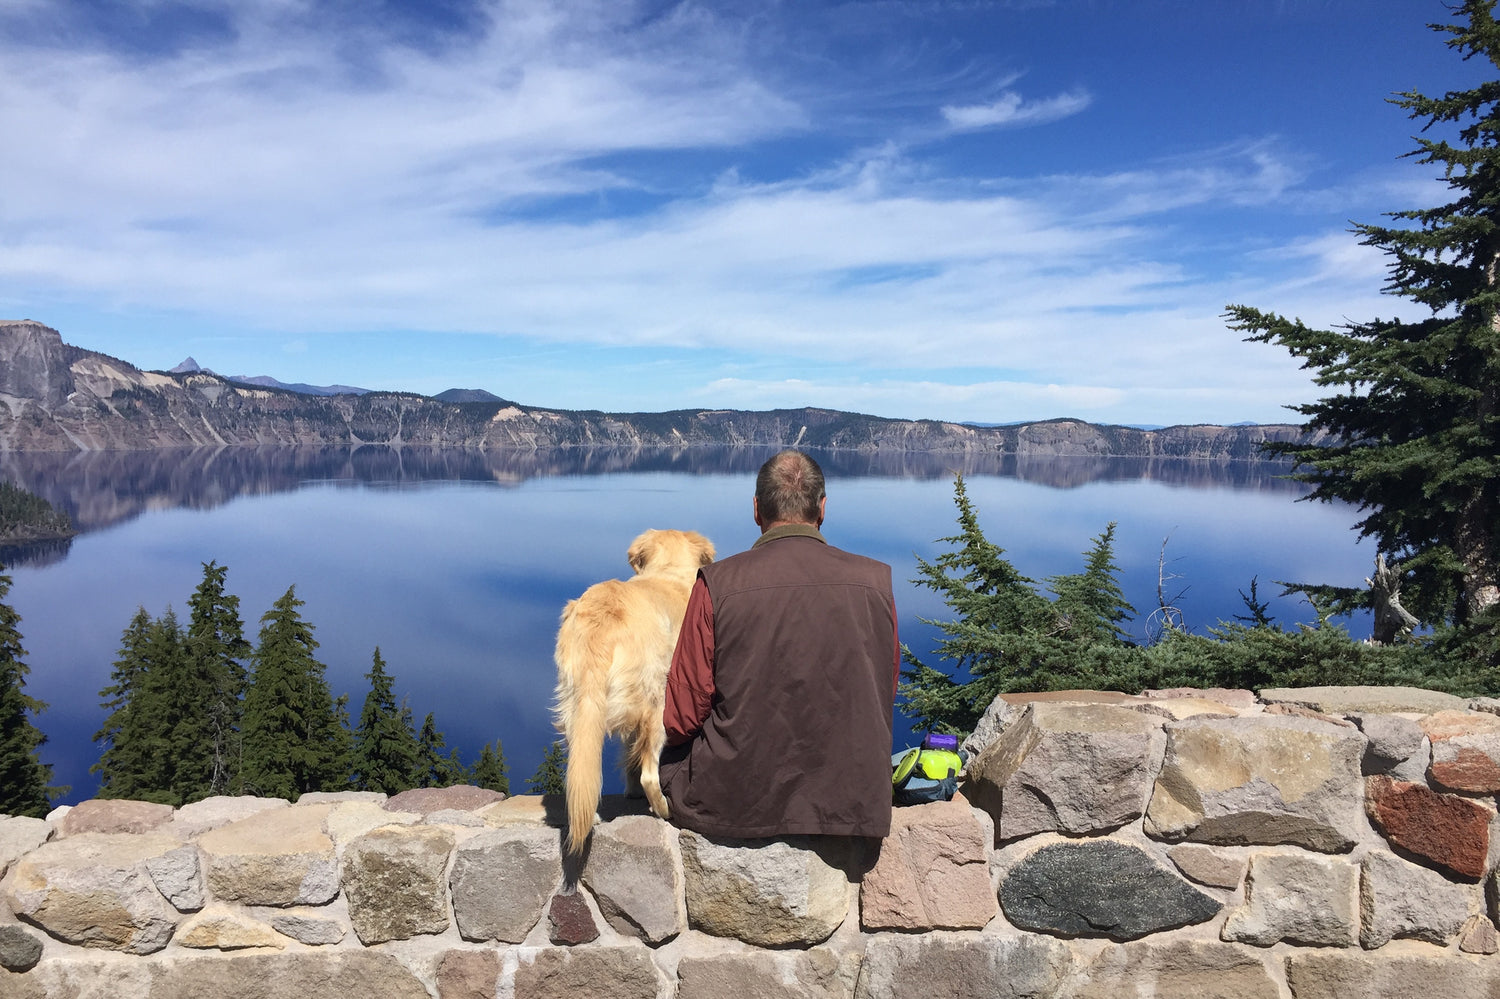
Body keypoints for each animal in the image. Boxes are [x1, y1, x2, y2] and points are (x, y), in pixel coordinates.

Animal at [552, 525, 714, 852]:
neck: (668, 571)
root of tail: (600, 624)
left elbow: (628, 753)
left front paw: (629, 792)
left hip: (580, 706)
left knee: (581, 770)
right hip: (658, 702)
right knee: (650, 774)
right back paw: (663, 808)